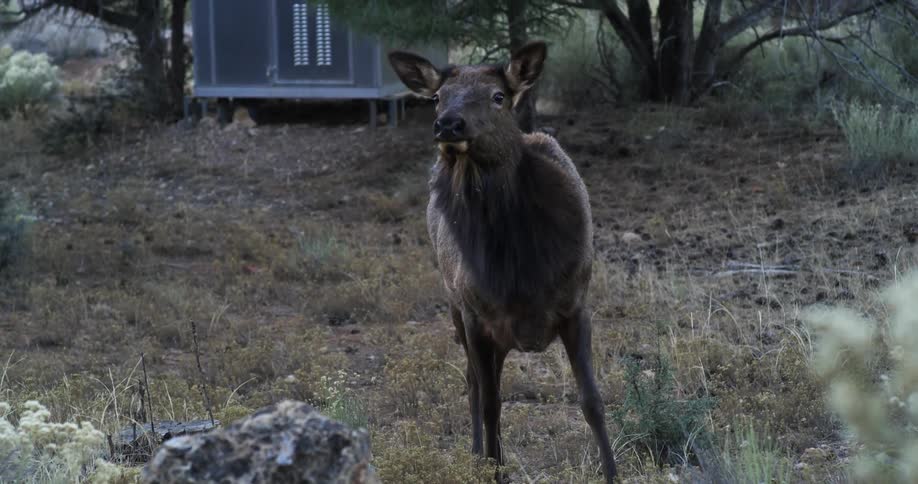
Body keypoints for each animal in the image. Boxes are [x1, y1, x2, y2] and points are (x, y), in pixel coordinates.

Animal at [388, 41, 617, 483]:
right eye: (437, 97)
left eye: (498, 97)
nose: (448, 125)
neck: (521, 270)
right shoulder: (478, 315)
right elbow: (492, 403)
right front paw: (491, 468)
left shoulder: (576, 306)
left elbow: (592, 400)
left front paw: (613, 472)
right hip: (457, 309)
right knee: (475, 384)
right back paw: (481, 456)